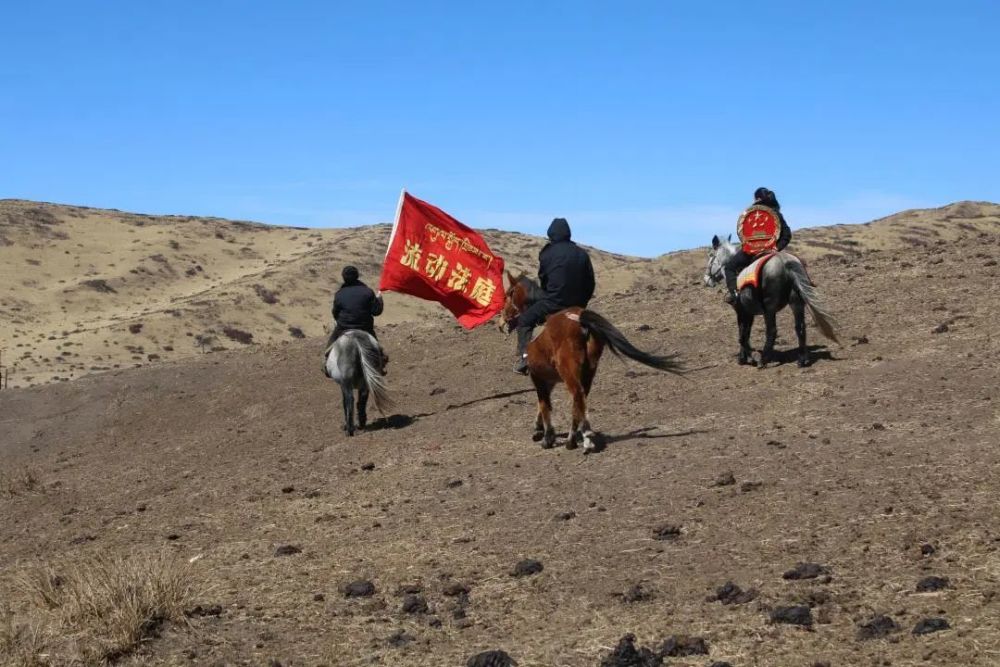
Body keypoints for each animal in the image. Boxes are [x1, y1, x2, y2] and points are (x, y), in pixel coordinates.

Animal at [498, 272, 684, 454]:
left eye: (508, 294)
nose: (501, 323)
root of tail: (581, 321)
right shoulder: (549, 380)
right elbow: (542, 404)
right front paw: (538, 430)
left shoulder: (538, 377)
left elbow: (544, 404)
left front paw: (547, 437)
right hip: (588, 371)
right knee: (580, 399)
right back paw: (577, 437)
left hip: (569, 372)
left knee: (577, 396)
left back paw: (580, 438)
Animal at [708, 235, 840, 368]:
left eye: (711, 255)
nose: (706, 279)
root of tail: (785, 262)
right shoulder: (750, 313)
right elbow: (746, 333)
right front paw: (746, 356)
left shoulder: (742, 311)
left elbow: (742, 333)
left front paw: (746, 357)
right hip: (796, 301)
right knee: (800, 326)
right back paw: (803, 360)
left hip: (769, 307)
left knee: (772, 330)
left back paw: (763, 361)